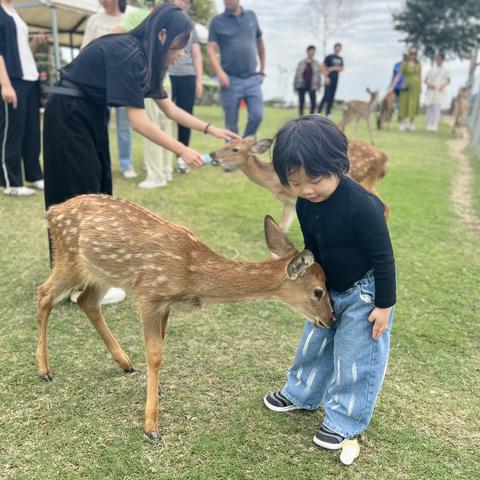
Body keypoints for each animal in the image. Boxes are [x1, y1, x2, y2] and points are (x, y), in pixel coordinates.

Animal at [36, 194, 334, 438]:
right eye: (319, 291)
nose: (331, 319)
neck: (192, 274)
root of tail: (52, 212)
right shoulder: (148, 294)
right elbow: (155, 354)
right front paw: (151, 427)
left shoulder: (165, 304)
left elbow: (161, 344)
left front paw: (155, 390)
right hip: (69, 260)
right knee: (44, 295)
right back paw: (44, 370)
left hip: (99, 271)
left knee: (86, 301)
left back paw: (124, 363)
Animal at [210, 138, 390, 232]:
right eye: (226, 141)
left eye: (235, 149)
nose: (213, 154)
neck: (273, 181)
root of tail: (383, 158)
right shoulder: (289, 202)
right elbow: (282, 227)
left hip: (363, 179)